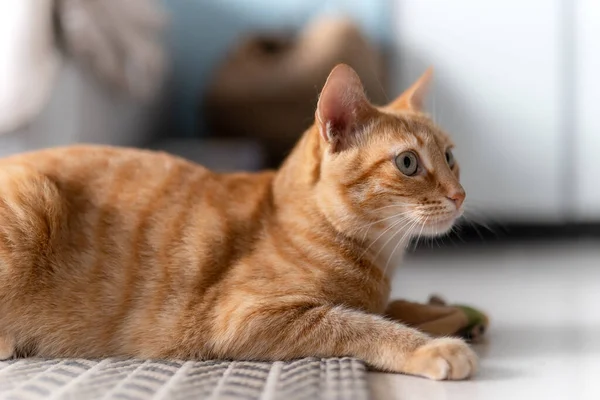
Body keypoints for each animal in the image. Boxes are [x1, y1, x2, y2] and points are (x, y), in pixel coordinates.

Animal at [1, 64, 478, 380]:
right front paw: (432, 346)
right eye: (408, 163)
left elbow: (396, 309)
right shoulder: (246, 317)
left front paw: (446, 311)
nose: (460, 195)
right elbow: (361, 324)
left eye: (450, 156)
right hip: (30, 204)